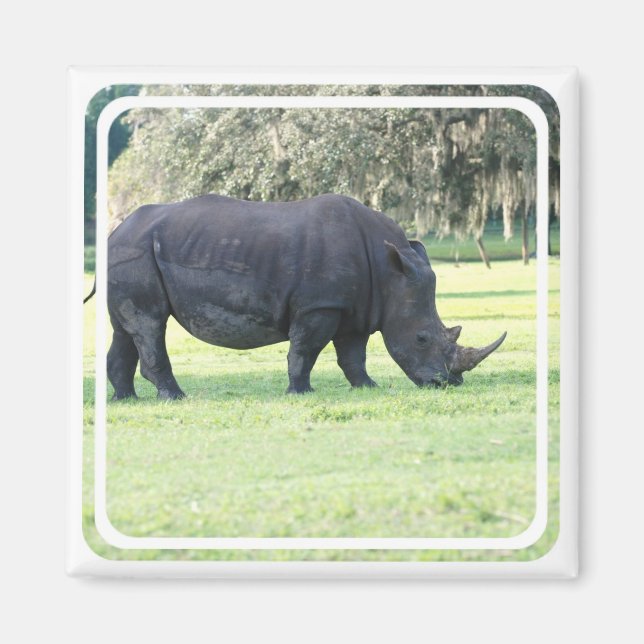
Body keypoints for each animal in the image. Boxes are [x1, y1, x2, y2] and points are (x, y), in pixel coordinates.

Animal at [98, 193, 506, 400]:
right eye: (421, 339)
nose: (447, 384)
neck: (389, 271)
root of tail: (116, 232)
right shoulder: (319, 305)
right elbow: (305, 350)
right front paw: (301, 392)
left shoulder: (356, 307)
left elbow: (353, 355)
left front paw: (368, 388)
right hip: (136, 251)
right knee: (151, 324)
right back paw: (176, 397)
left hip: (131, 252)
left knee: (127, 329)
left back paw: (126, 400)